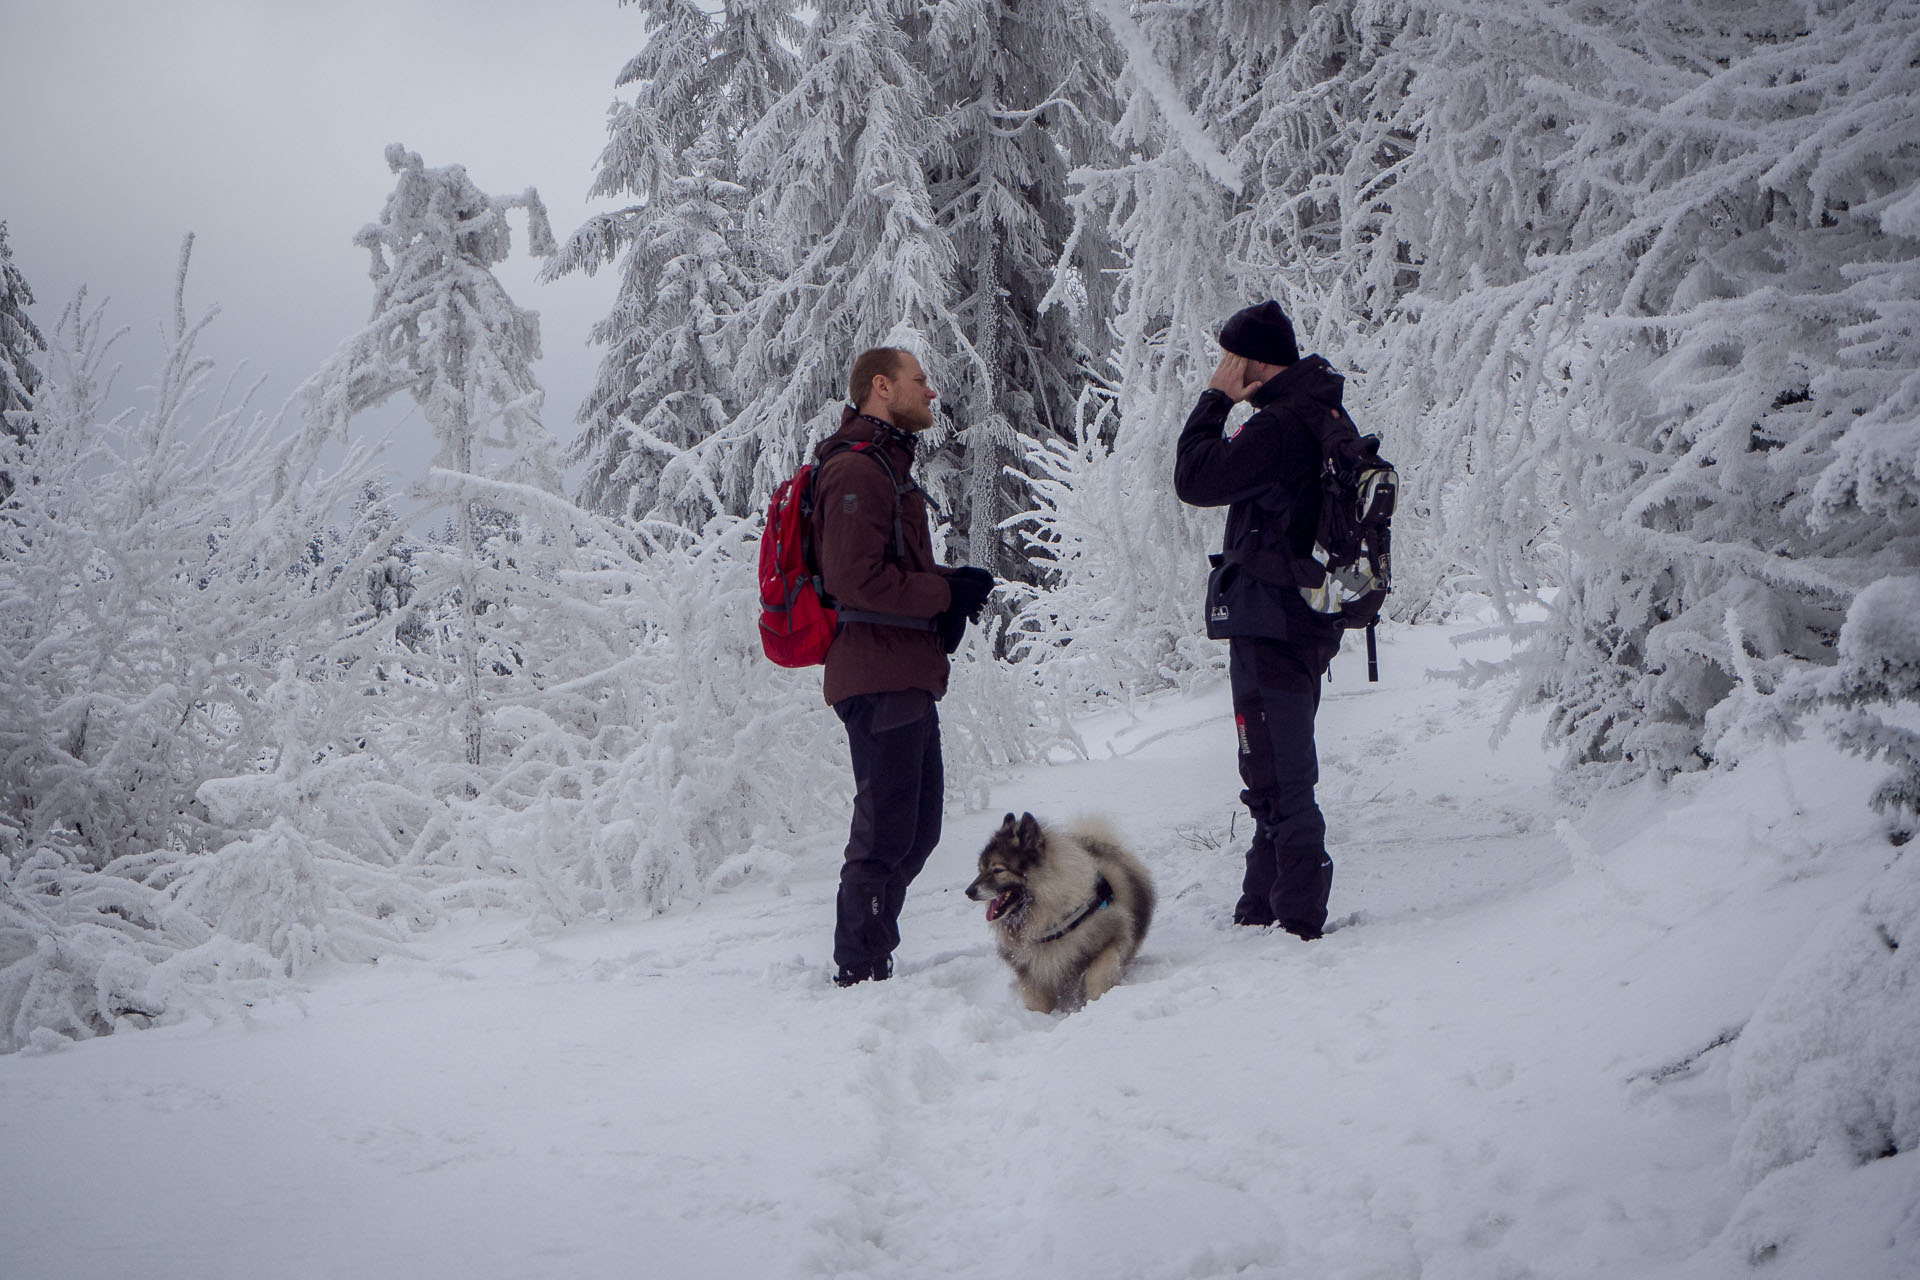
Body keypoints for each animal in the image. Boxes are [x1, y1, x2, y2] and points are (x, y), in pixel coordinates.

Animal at [967, 817, 1144, 1013]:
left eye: (998, 870)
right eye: (980, 869)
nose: (969, 892)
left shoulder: (1108, 940)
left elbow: (1097, 976)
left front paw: (1097, 1002)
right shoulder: (1032, 972)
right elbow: (1037, 1004)